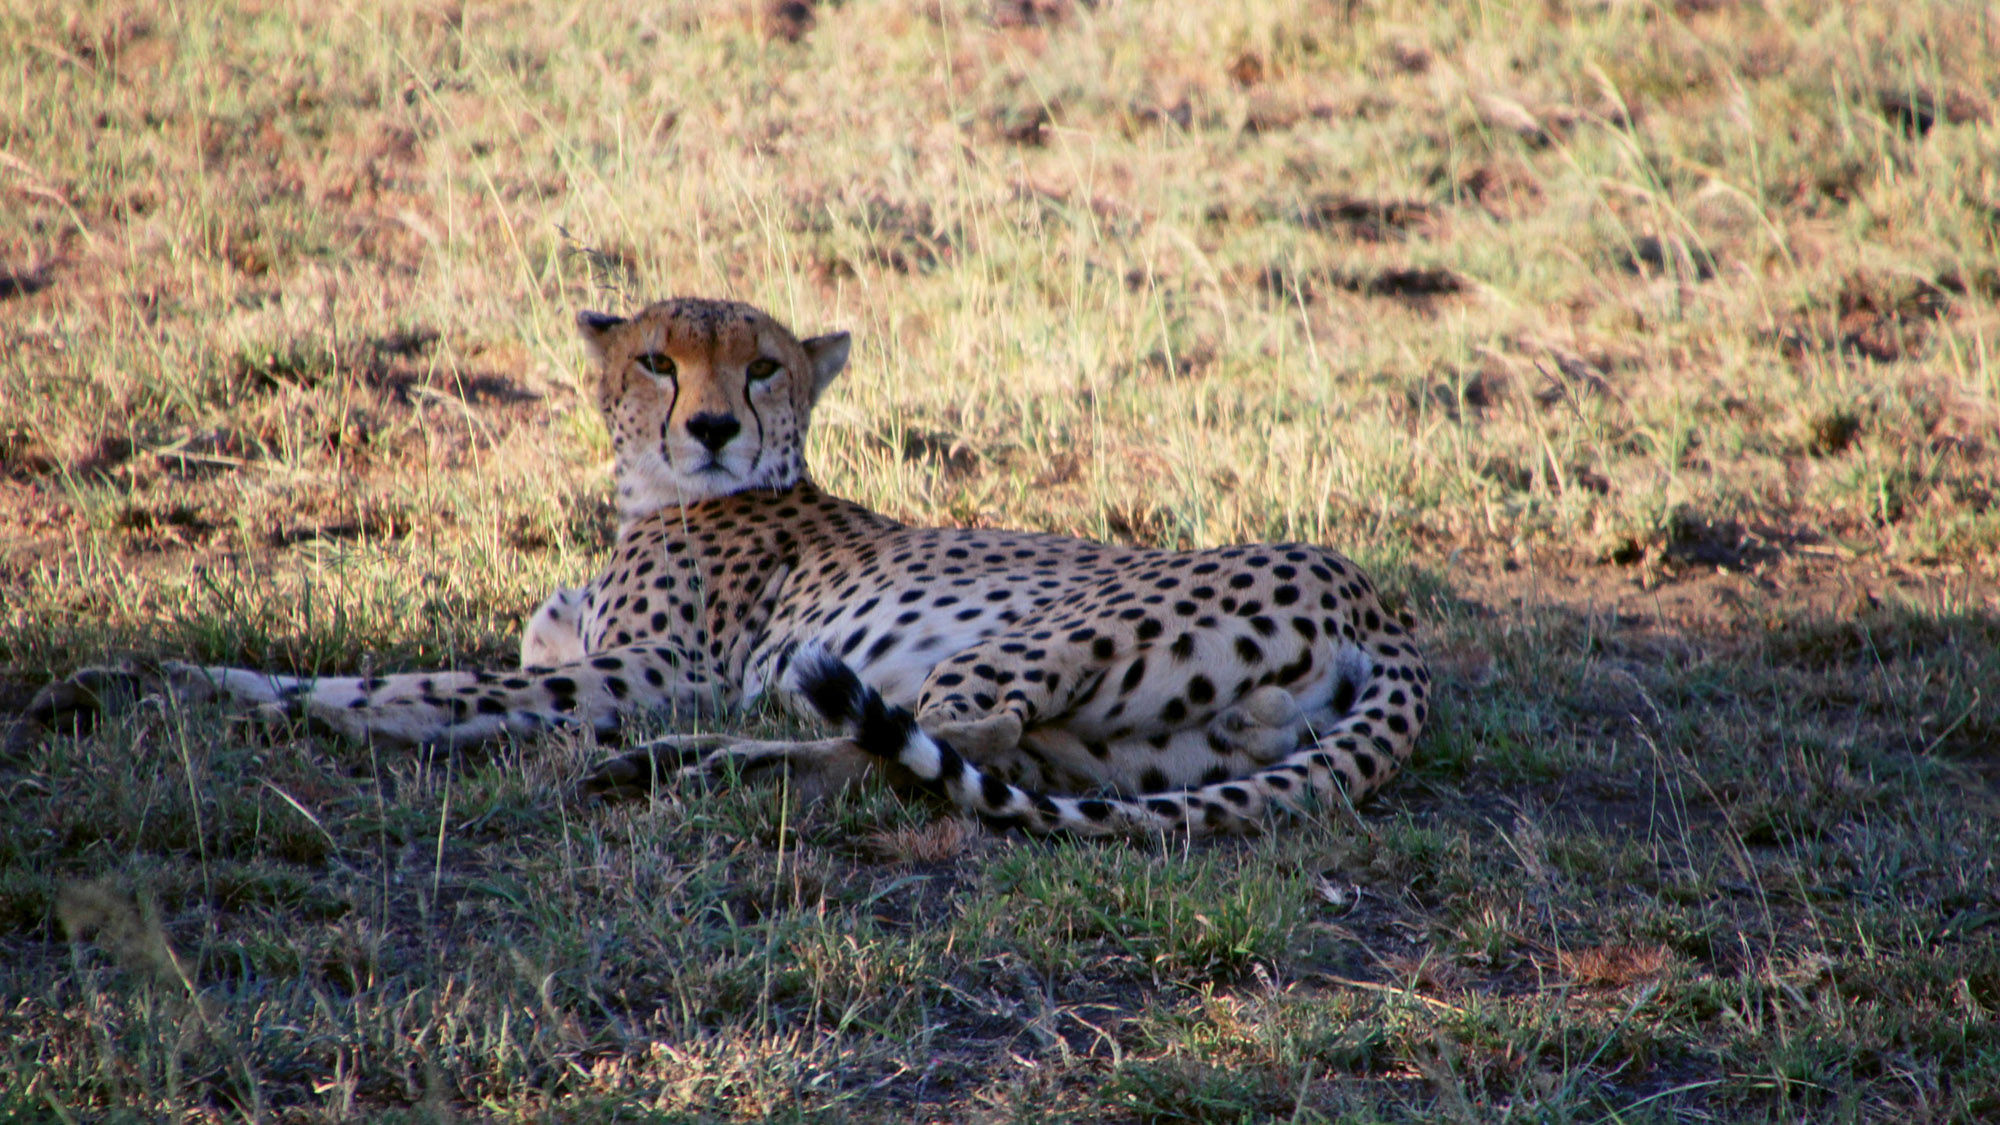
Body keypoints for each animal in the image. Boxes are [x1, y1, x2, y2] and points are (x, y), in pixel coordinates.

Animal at [28, 297, 1429, 836]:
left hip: (1033, 632)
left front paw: (168, 692)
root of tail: (1380, 597)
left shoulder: (647, 674)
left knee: (933, 741)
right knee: (976, 761)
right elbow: (411, 686)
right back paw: (684, 768)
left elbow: (386, 690)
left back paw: (683, 766)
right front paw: (134, 684)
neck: (653, 499)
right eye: (659, 359)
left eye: (762, 368)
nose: (708, 425)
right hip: (1142, 752)